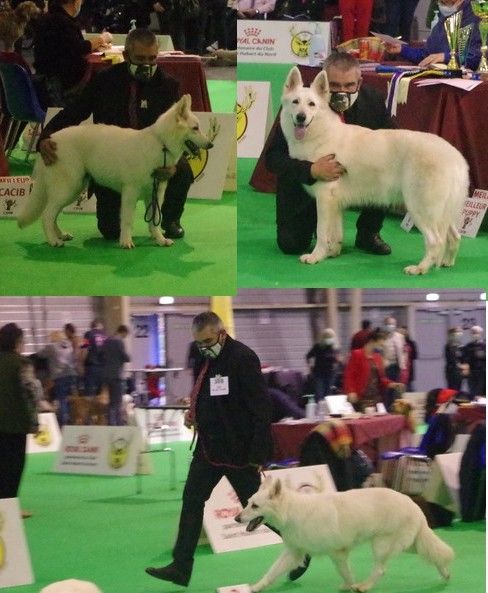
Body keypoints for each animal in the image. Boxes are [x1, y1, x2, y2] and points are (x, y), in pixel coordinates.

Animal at [17, 93, 212, 250]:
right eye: (195, 128)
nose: (211, 144)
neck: (160, 143)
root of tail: (50, 140)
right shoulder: (130, 192)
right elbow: (127, 220)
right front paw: (126, 242)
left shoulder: (155, 193)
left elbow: (155, 220)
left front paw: (159, 240)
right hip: (68, 188)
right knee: (47, 215)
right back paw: (54, 241)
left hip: (72, 190)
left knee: (52, 215)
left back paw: (60, 235)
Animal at [236, 476, 454, 592]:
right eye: (247, 502)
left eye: (255, 506)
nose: (236, 518)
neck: (291, 511)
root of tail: (414, 506)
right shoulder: (294, 552)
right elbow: (272, 572)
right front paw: (255, 587)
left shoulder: (337, 553)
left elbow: (346, 572)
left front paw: (350, 585)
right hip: (411, 545)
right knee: (435, 554)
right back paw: (445, 573)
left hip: (381, 545)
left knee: (380, 570)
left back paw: (364, 586)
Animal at [282, 67, 468, 276]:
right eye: (295, 102)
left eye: (311, 104)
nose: (301, 117)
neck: (321, 133)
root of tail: (455, 156)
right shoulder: (335, 204)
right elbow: (335, 233)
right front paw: (331, 253)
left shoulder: (324, 200)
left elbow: (322, 233)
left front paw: (315, 256)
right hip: (444, 211)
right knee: (454, 237)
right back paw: (446, 263)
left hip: (421, 208)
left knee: (436, 241)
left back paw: (420, 268)